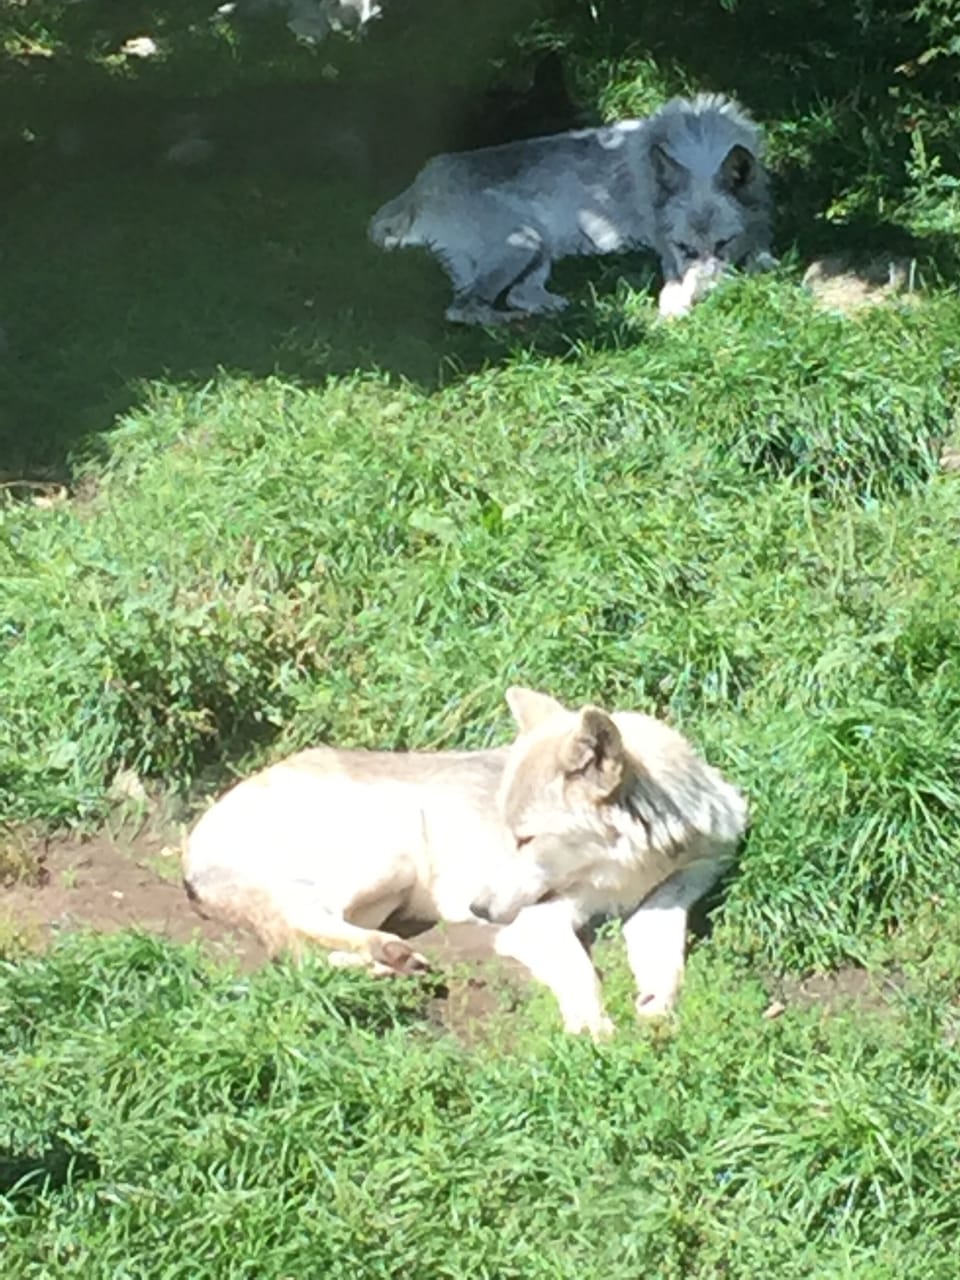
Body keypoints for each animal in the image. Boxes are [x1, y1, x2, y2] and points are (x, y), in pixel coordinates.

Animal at [182, 687, 747, 1037]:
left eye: (527, 838)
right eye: (509, 833)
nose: (478, 909)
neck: (625, 870)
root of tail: (193, 843)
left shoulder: (681, 885)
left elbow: (666, 957)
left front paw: (656, 1008)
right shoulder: (536, 921)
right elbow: (581, 971)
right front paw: (591, 1027)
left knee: (297, 949)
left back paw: (384, 967)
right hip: (390, 851)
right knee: (299, 927)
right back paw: (387, 957)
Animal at [368, 93, 773, 324]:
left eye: (723, 244)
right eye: (684, 248)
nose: (708, 297)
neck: (700, 146)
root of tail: (421, 182)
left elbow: (760, 253)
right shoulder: (666, 252)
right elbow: (676, 281)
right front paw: (674, 305)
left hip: (539, 251)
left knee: (514, 295)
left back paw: (555, 308)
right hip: (525, 241)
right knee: (463, 309)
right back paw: (513, 324)